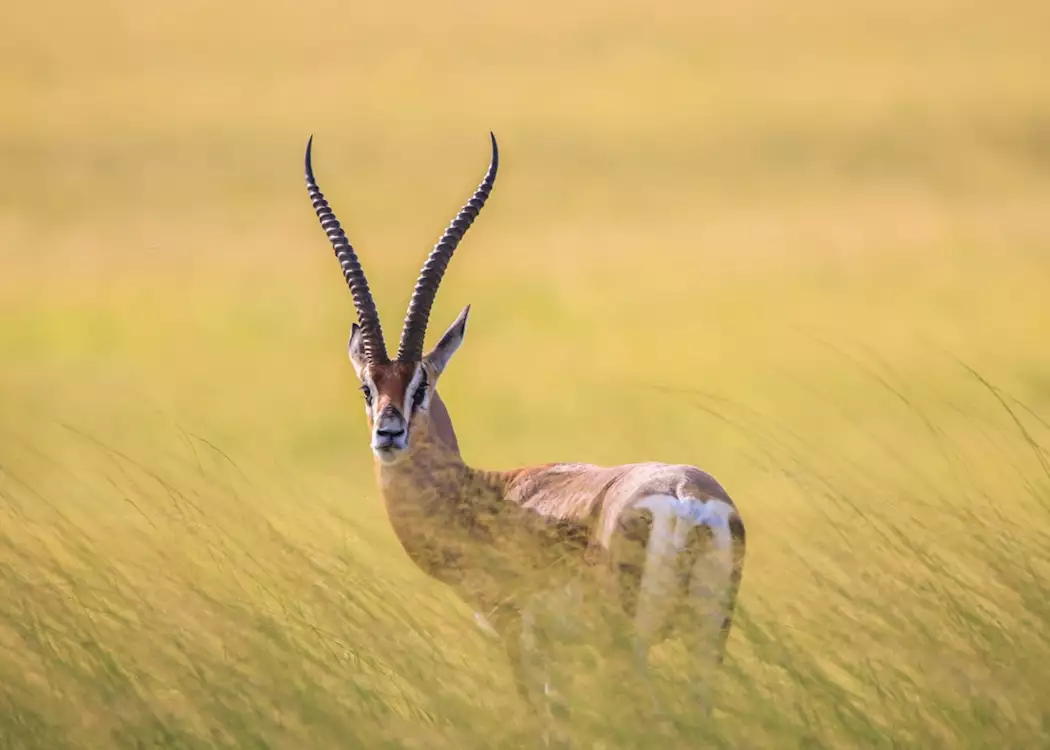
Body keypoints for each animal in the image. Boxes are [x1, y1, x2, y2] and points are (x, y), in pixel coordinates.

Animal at [304, 133, 746, 742]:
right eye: (367, 387)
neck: (484, 497)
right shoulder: (562, 653)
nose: (388, 433)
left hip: (629, 646)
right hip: (708, 640)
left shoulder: (519, 633)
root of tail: (688, 497)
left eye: (422, 383)